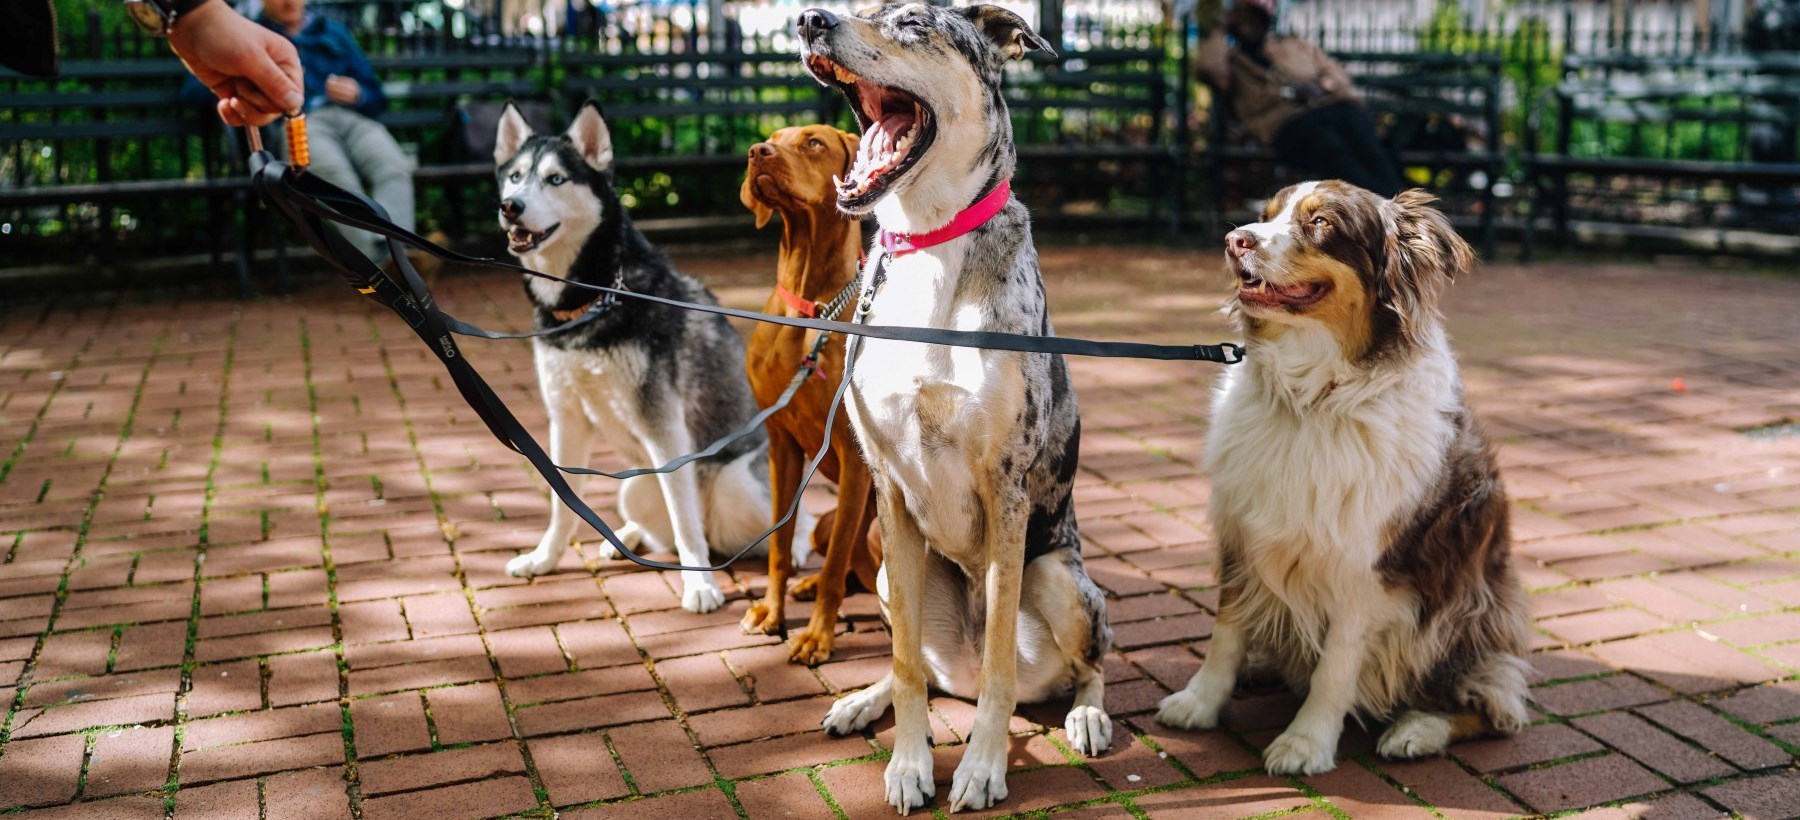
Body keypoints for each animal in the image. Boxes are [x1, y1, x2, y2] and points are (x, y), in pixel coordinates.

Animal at [493, 102, 817, 611]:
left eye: (556, 179)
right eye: (514, 177)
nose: (511, 207)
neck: (595, 298)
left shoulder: (664, 426)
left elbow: (684, 520)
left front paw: (701, 586)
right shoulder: (566, 418)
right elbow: (562, 503)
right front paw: (543, 559)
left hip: (736, 484)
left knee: (790, 520)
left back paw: (791, 548)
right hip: (635, 486)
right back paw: (623, 538)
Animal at [741, 124, 882, 661]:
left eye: (814, 143)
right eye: (771, 138)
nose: (757, 153)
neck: (809, 309)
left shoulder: (854, 460)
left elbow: (836, 567)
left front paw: (818, 636)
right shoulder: (780, 443)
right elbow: (780, 548)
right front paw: (772, 611)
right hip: (822, 522)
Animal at [799, 6, 1108, 812]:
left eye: (912, 22)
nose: (810, 19)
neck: (928, 241)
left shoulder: (1006, 489)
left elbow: (1000, 666)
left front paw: (981, 768)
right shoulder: (888, 488)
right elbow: (908, 665)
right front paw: (911, 764)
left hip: (1060, 578)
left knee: (1085, 665)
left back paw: (1087, 716)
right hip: (884, 571)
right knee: (927, 668)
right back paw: (862, 701)